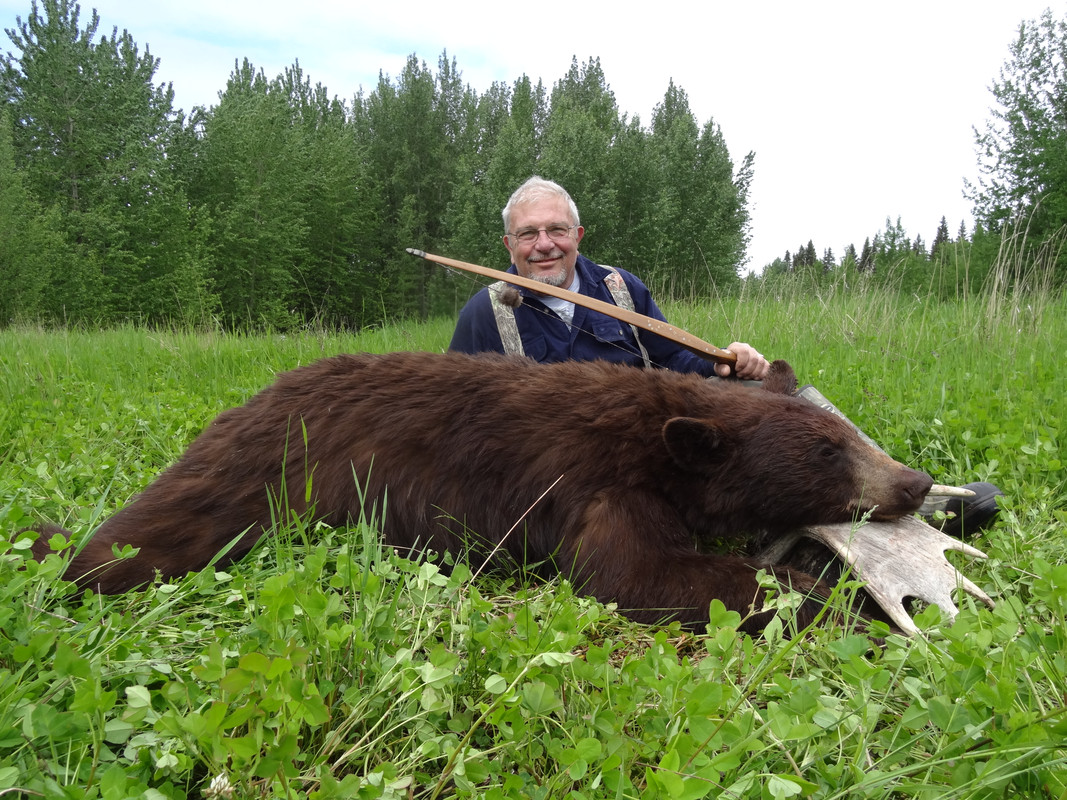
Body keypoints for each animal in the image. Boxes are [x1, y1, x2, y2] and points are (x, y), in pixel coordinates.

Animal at [24, 352, 933, 634]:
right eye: (827, 451)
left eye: (844, 431)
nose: (914, 482)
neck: (655, 437)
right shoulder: (589, 482)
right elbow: (635, 574)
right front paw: (837, 599)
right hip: (262, 469)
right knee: (143, 539)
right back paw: (64, 553)